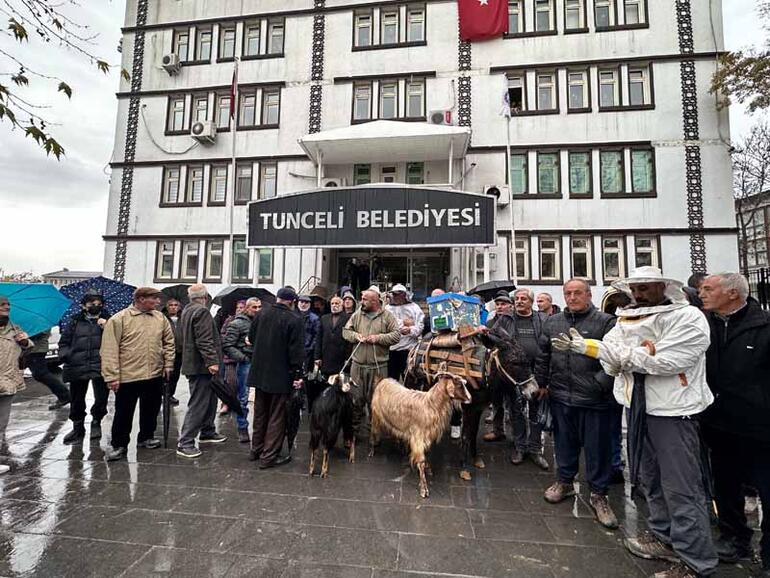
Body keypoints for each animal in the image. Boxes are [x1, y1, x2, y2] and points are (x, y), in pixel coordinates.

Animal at [366, 366, 468, 498]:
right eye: (459, 385)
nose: (470, 398)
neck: (430, 404)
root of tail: (382, 380)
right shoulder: (418, 437)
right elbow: (421, 462)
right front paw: (424, 489)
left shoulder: (427, 437)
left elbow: (426, 455)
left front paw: (428, 469)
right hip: (376, 415)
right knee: (374, 432)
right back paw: (372, 450)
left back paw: (400, 447)